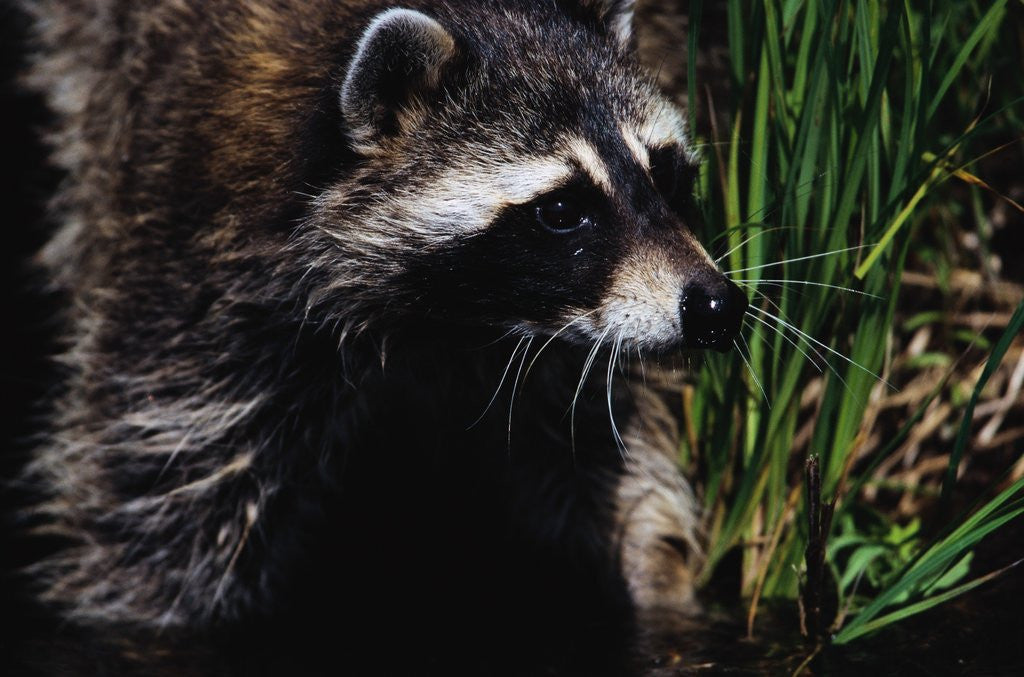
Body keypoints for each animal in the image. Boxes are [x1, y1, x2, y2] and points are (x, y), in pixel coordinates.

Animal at [21, 0, 747, 647]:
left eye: (666, 174)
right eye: (563, 210)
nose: (717, 306)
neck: (455, 316)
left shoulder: (565, 331)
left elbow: (601, 445)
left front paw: (657, 582)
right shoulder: (201, 263)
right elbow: (164, 502)